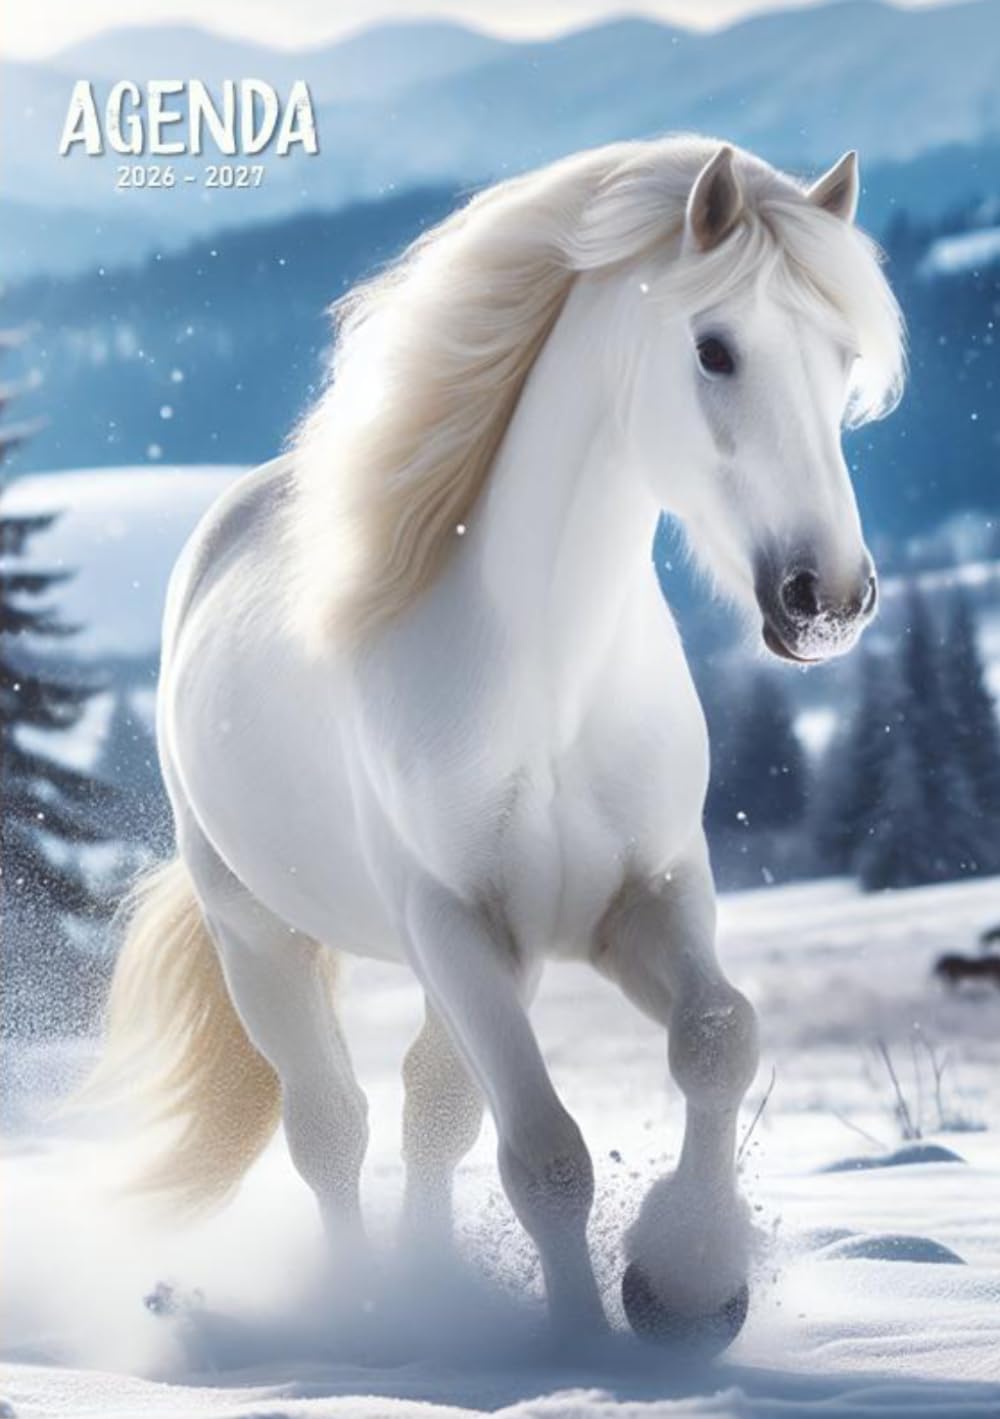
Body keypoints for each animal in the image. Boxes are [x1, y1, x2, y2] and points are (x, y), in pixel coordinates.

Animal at [88, 137, 904, 1351]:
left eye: (844, 359)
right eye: (714, 349)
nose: (829, 601)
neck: (550, 682)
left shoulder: (644, 900)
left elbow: (719, 1036)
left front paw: (686, 1288)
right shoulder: (454, 923)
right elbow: (548, 1157)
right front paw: (583, 1347)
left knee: (432, 1111)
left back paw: (434, 1283)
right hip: (263, 935)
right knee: (332, 1128)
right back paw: (371, 1307)